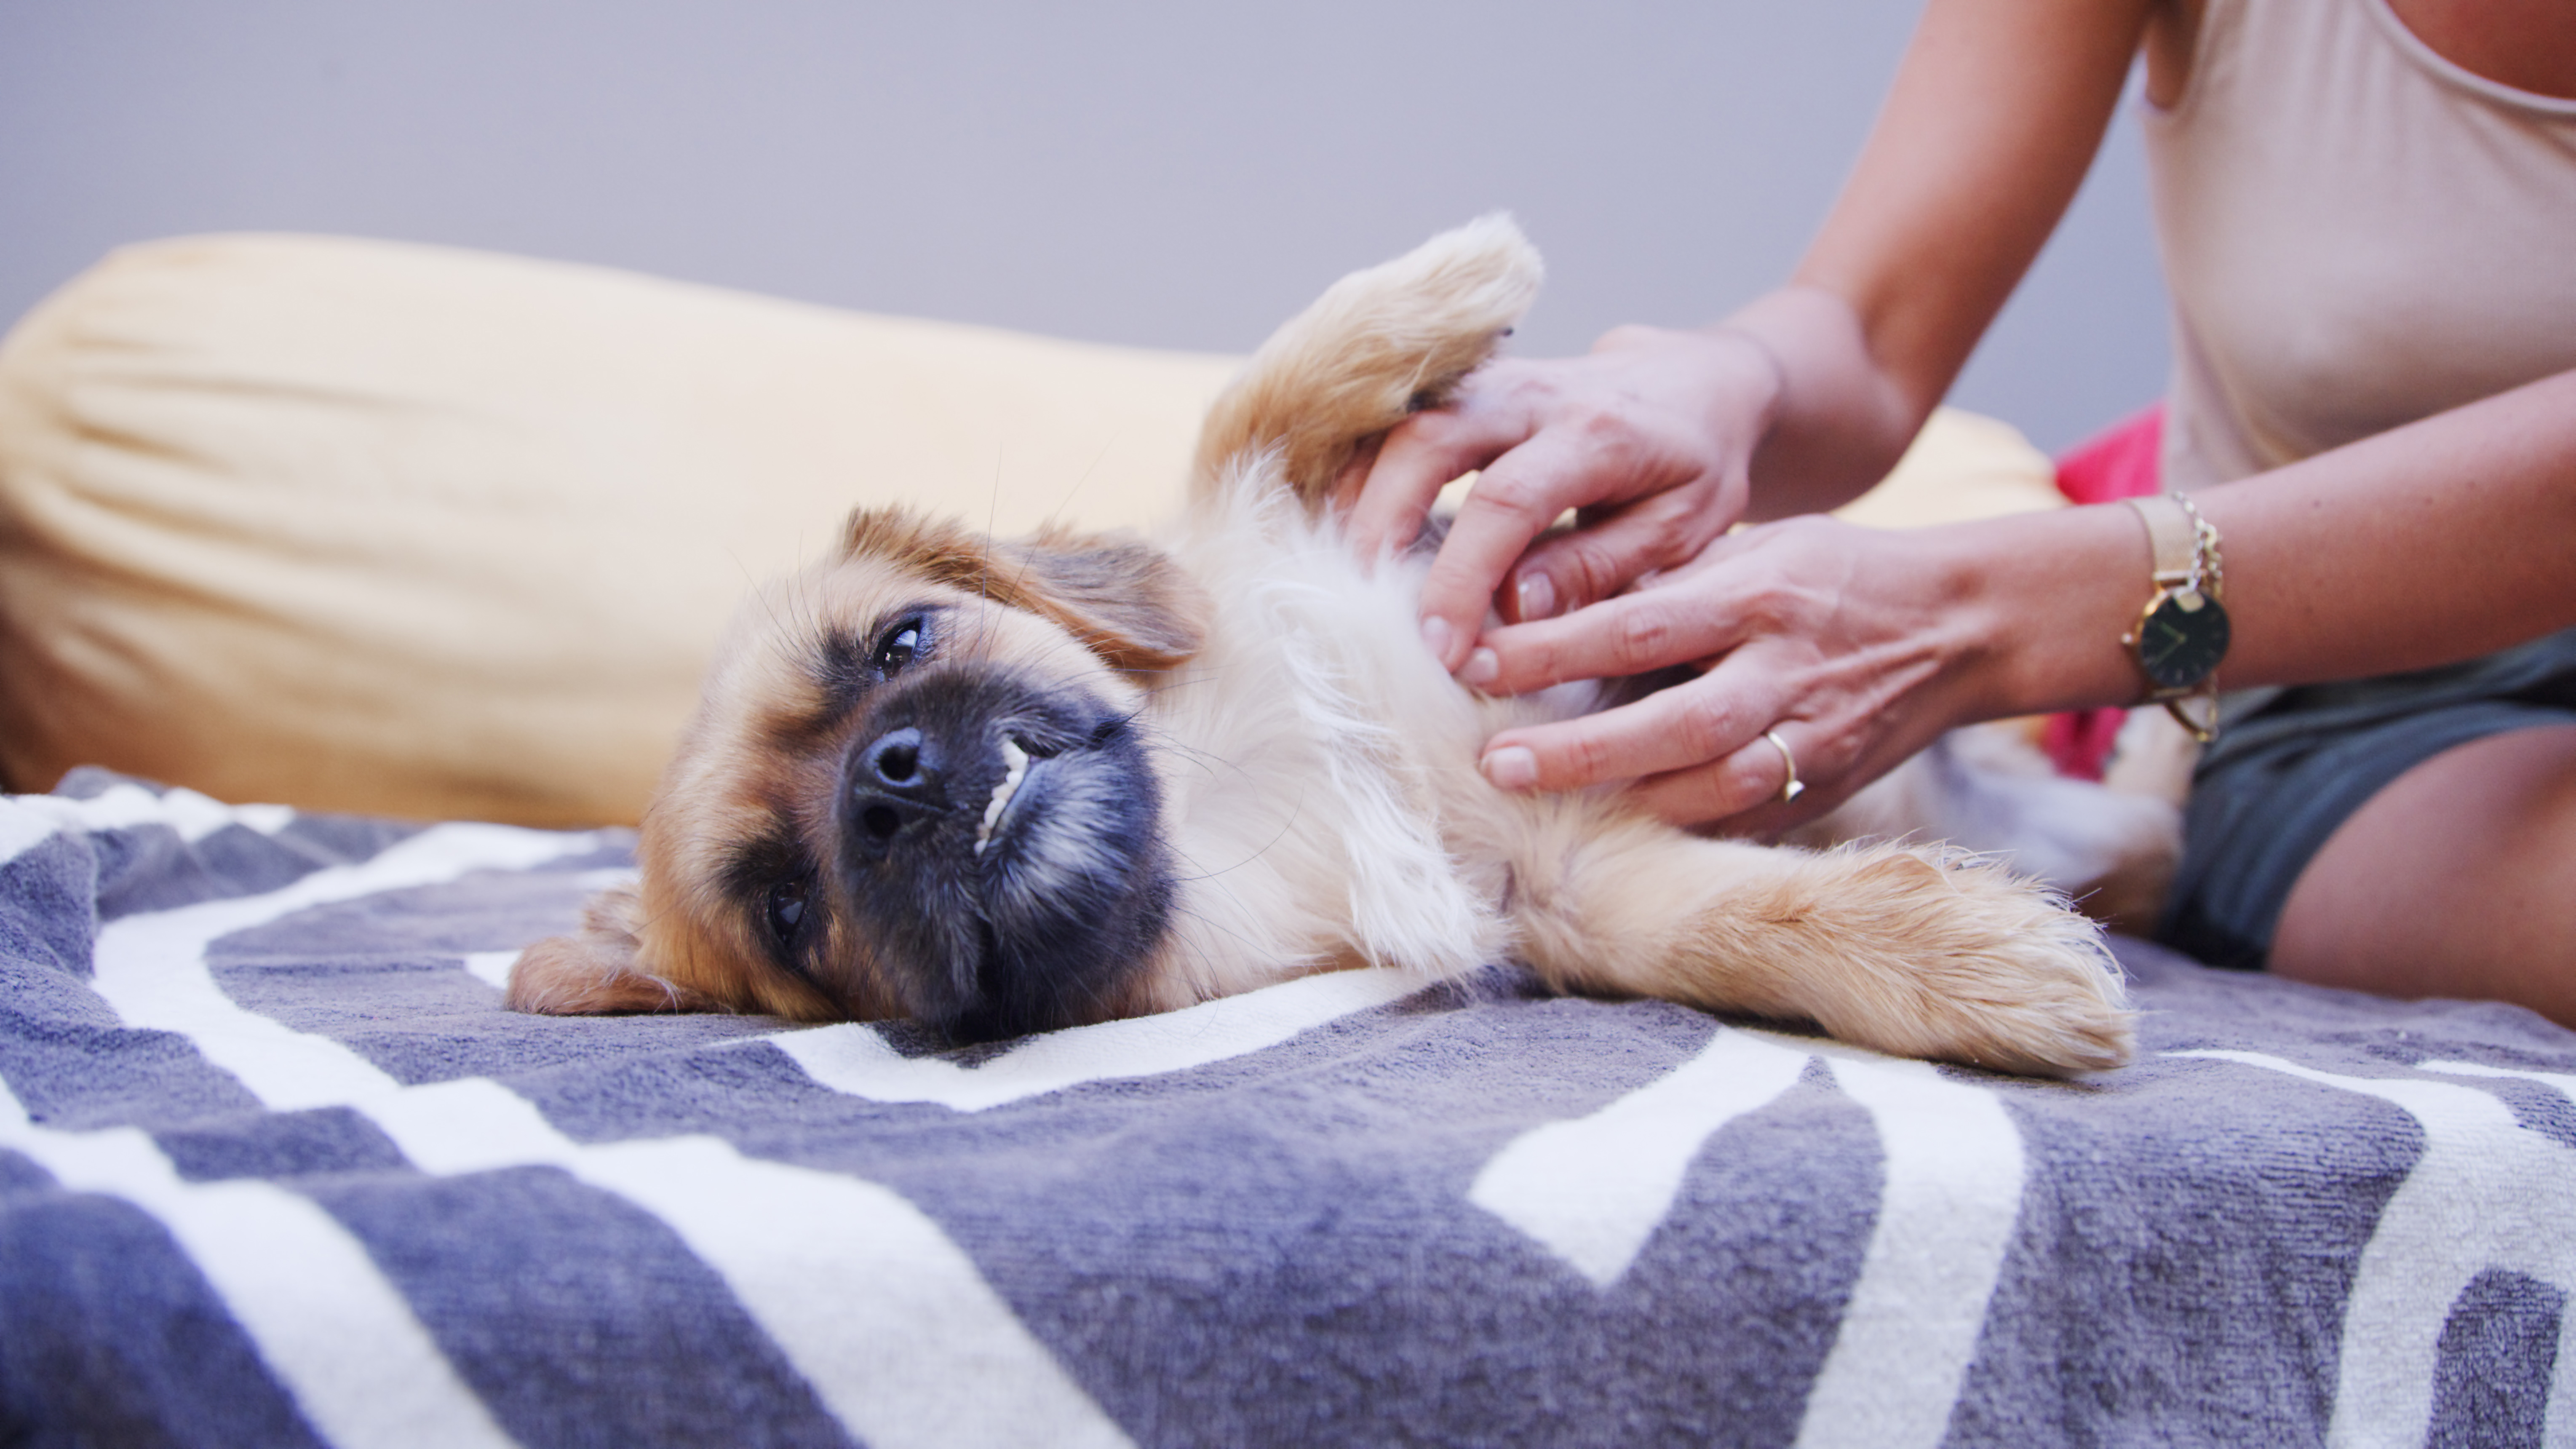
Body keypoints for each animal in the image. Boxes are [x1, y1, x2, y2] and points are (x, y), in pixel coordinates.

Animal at [502, 214, 2133, 1072]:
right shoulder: (1561, 887)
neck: (1233, 788)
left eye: (899, 645)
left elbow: (1252, 408)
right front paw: (1995, 970)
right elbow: (1740, 924)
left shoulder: (1312, 534)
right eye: (792, 910)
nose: (889, 783)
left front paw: (1451, 283)